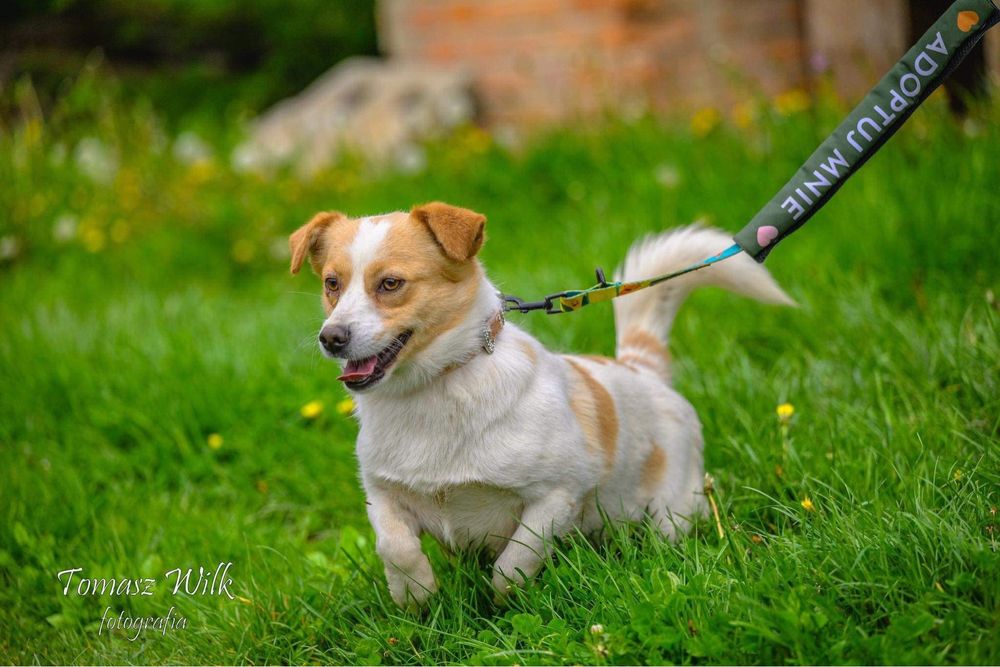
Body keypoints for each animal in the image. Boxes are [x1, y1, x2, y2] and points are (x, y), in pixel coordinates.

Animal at [292, 201, 796, 608]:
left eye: (391, 283)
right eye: (332, 284)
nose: (331, 338)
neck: (435, 387)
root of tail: (640, 367)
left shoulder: (556, 495)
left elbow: (514, 563)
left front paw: (504, 603)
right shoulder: (383, 495)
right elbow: (394, 548)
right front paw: (416, 596)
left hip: (673, 511)